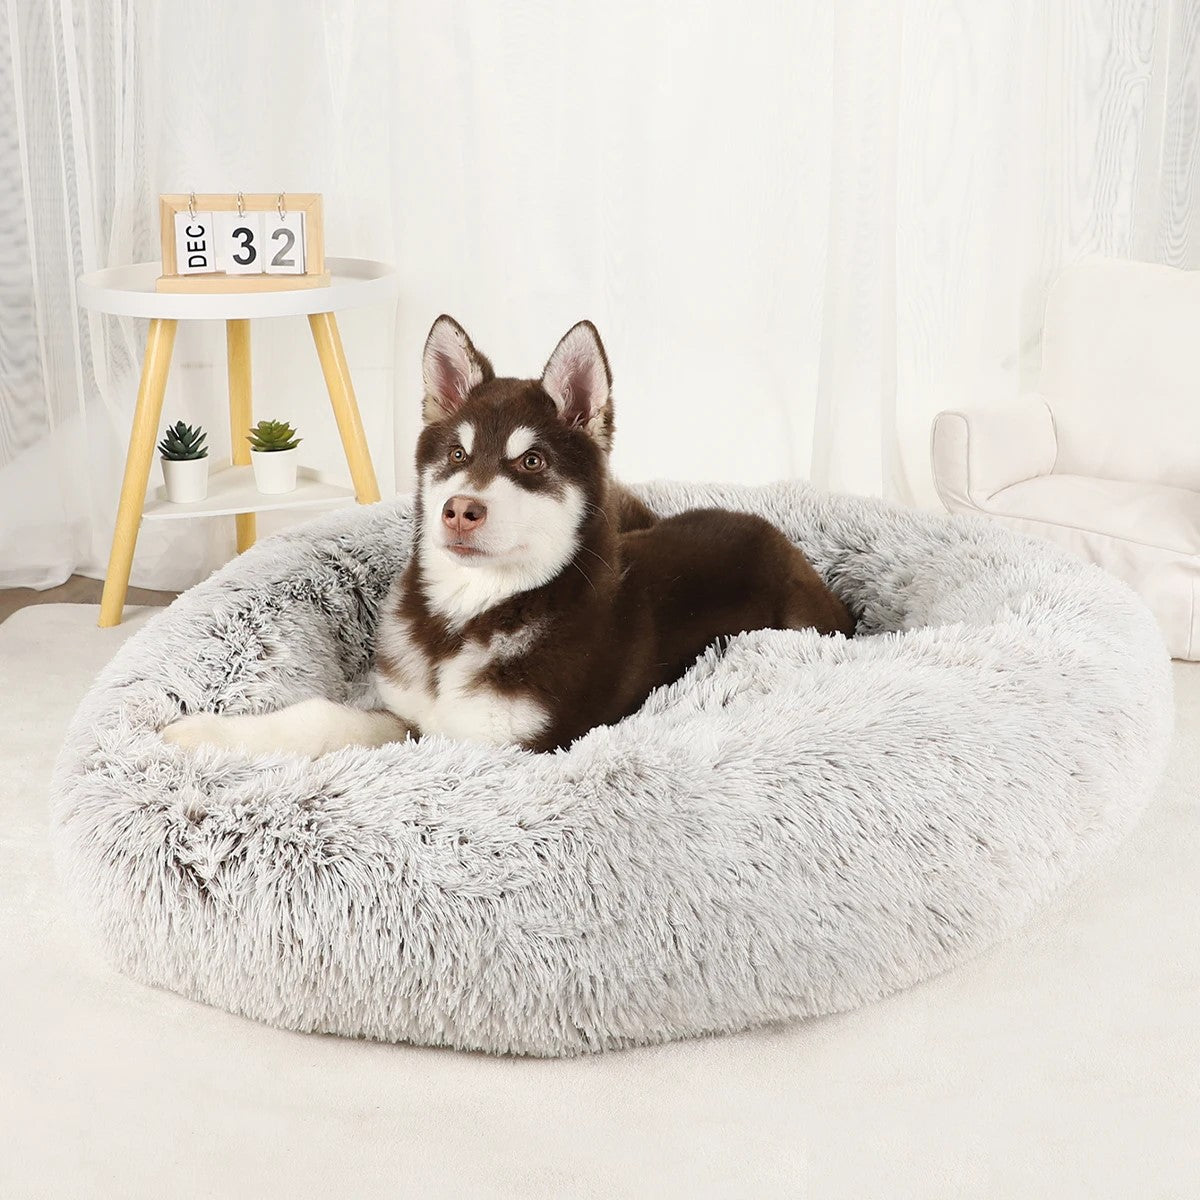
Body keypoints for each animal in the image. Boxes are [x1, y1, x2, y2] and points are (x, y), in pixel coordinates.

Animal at [166, 314, 854, 753]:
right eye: (455, 454)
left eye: (532, 462)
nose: (459, 510)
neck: (475, 611)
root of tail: (775, 535)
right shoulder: (410, 712)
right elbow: (323, 717)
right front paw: (206, 734)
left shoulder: (495, 746)